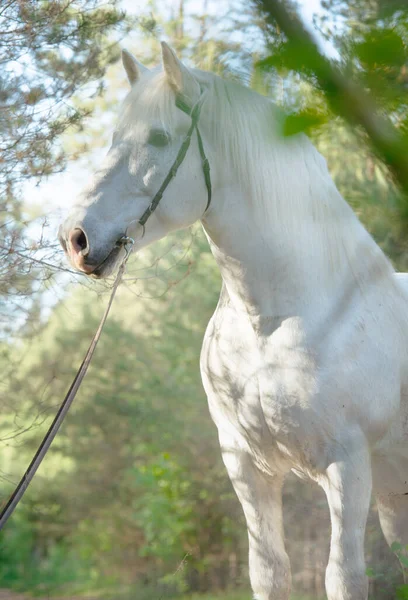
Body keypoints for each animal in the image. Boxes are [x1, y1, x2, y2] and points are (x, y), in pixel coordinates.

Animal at [59, 43, 408, 600]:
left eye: (159, 138)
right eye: (114, 139)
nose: (76, 238)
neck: (277, 321)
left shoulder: (348, 465)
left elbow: (343, 577)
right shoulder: (245, 465)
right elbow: (267, 570)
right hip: (396, 492)